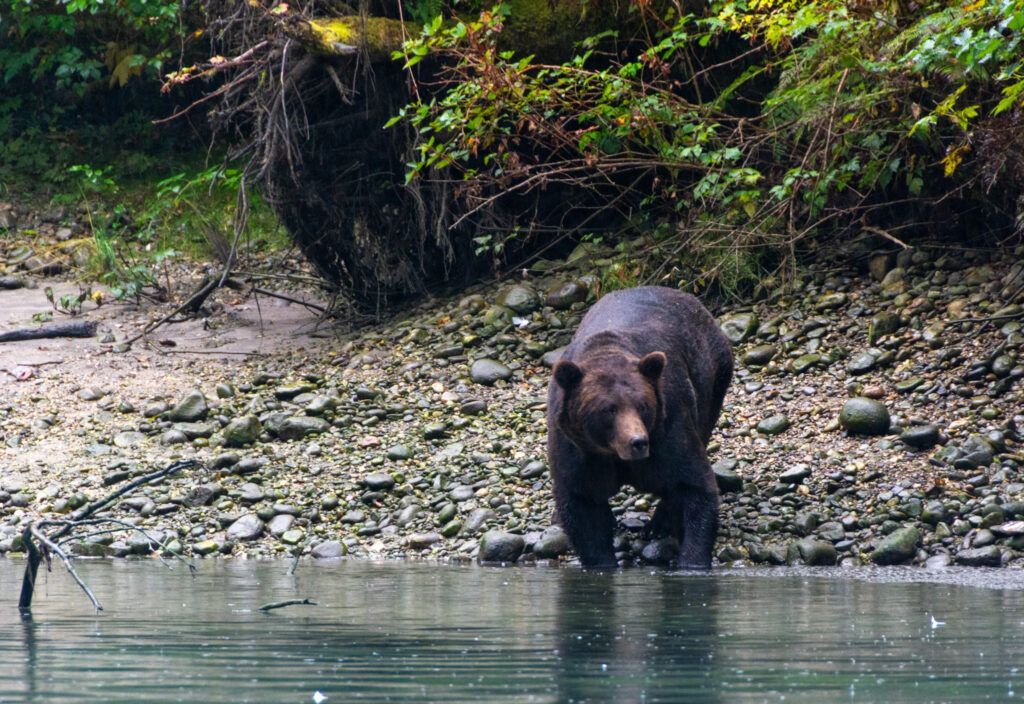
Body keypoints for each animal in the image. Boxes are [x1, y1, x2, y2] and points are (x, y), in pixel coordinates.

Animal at [546, 285, 733, 569]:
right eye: (608, 409)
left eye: (642, 405)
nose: (637, 442)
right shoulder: (576, 448)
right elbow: (581, 504)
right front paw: (601, 562)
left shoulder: (669, 428)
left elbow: (694, 485)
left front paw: (692, 560)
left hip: (713, 379)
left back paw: (659, 523)